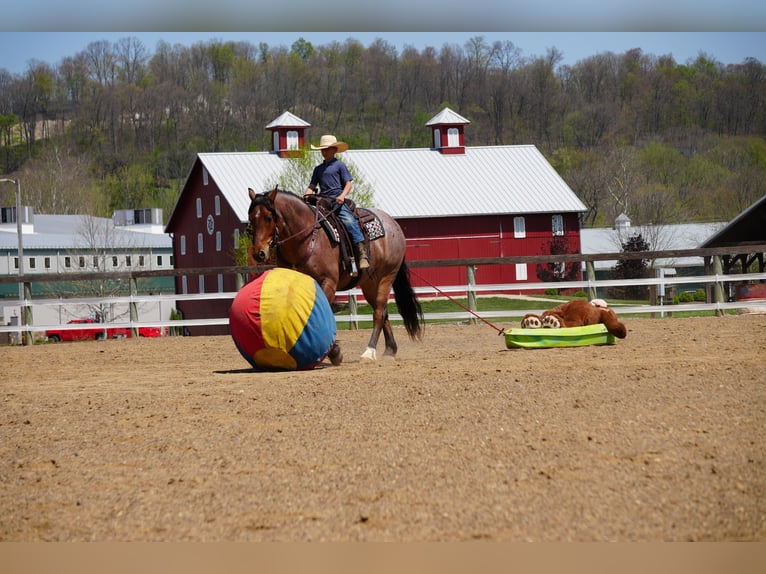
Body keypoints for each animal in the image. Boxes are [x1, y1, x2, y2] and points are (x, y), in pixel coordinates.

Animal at [246, 186, 424, 364]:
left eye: (269, 218)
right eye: (251, 219)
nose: (258, 253)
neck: (306, 238)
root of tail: (393, 224)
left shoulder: (328, 283)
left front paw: (335, 352)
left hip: (387, 276)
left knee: (379, 312)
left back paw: (369, 351)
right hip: (369, 283)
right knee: (383, 311)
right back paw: (390, 349)